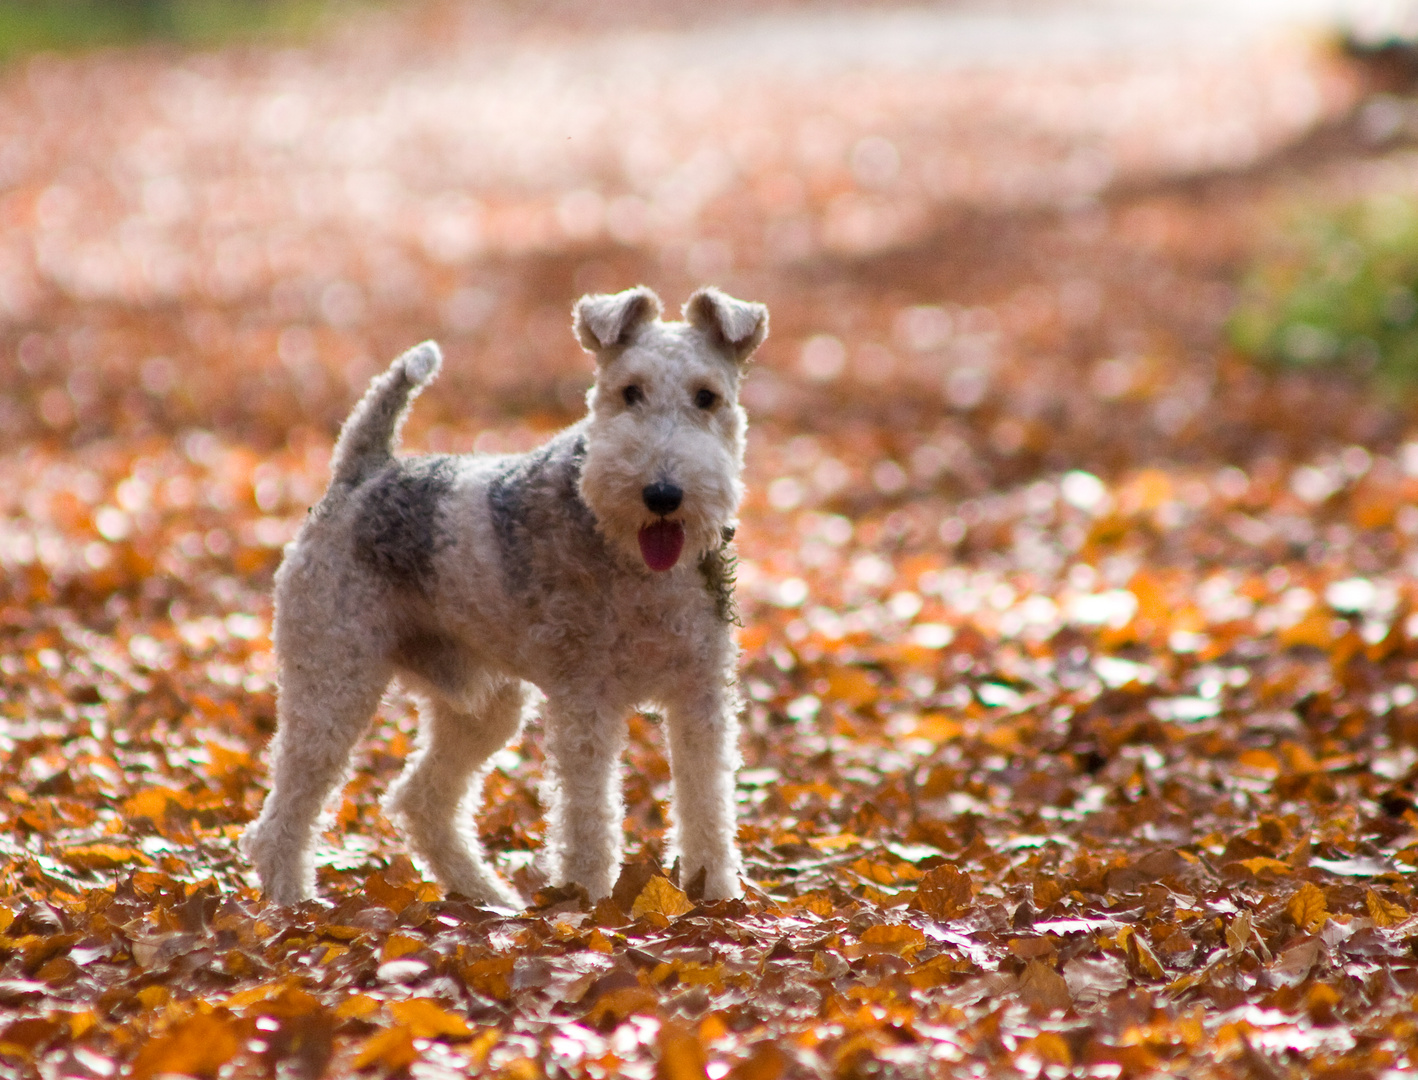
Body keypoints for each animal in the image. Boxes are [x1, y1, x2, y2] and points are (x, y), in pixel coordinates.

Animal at [239, 282, 771, 907]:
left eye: (707, 397)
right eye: (629, 392)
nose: (662, 494)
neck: (632, 557)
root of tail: (362, 473)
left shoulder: (700, 695)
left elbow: (706, 800)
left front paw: (714, 896)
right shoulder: (586, 698)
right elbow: (589, 813)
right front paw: (592, 903)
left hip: (485, 705)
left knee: (421, 800)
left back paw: (489, 898)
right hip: (334, 681)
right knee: (283, 816)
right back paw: (292, 902)